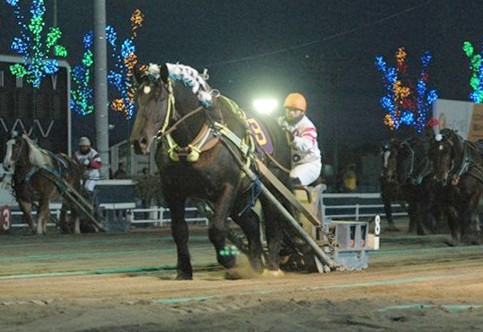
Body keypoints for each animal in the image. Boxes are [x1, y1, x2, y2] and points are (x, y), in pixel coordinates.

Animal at [130, 63, 294, 280]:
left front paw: (230, 262)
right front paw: (184, 271)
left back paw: (273, 266)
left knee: (274, 221)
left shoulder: (228, 186)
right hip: (240, 195)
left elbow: (216, 229)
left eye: (160, 98)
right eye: (138, 99)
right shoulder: (172, 190)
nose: (138, 141)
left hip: (270, 186)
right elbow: (179, 230)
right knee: (252, 222)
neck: (194, 141)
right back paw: (257, 264)